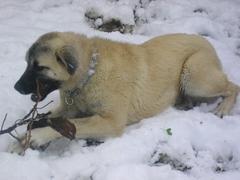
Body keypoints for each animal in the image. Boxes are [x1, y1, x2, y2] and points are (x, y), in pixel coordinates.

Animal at [10, 31, 239, 153]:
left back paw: (223, 108)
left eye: (39, 67)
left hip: (193, 75)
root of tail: (204, 40)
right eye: (27, 63)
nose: (16, 88)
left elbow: (71, 124)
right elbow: (44, 119)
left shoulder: (110, 121)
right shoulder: (67, 109)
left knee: (233, 86)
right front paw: (21, 141)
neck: (89, 73)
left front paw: (36, 137)